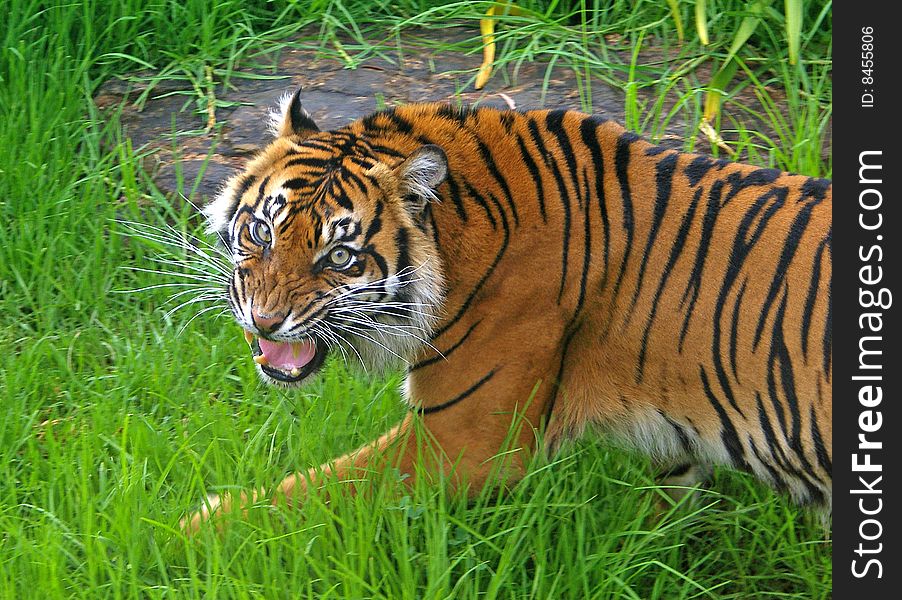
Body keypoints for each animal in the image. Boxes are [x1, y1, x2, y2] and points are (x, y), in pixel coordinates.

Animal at [182, 86, 832, 532]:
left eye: (340, 256)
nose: (262, 322)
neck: (458, 237)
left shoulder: (459, 445)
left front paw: (181, 532)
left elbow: (305, 493)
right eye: (261, 231)